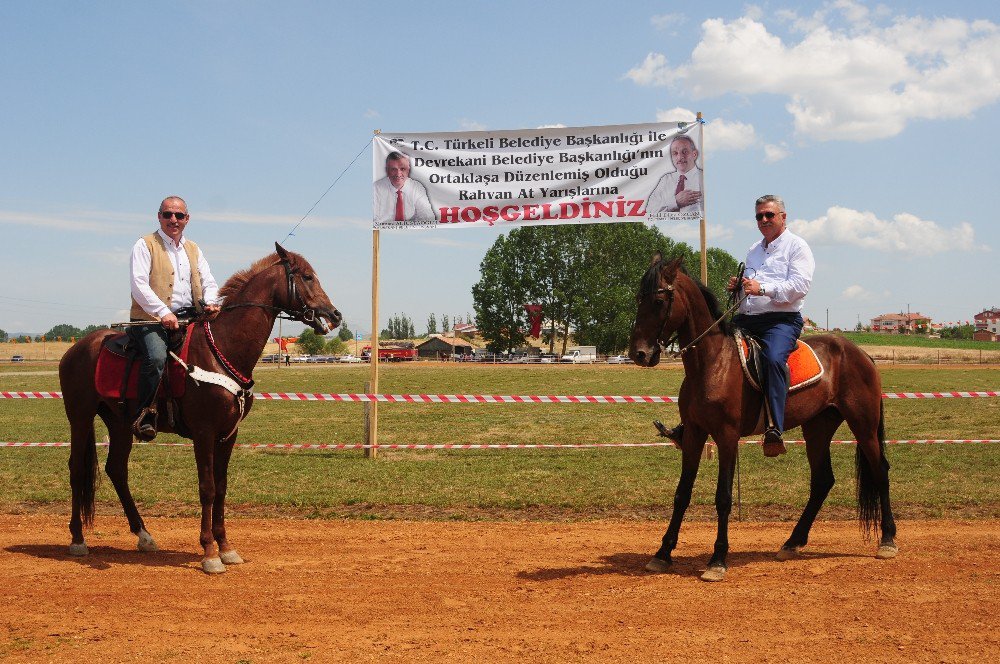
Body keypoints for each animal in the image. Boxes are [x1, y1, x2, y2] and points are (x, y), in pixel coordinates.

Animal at [59, 244, 340, 572]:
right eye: (307, 276)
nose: (334, 314)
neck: (222, 347)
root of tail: (77, 348)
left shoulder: (228, 435)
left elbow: (221, 488)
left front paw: (226, 547)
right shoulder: (204, 433)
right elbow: (207, 488)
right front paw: (209, 552)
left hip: (120, 423)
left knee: (116, 469)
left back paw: (144, 535)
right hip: (79, 417)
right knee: (77, 469)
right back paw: (78, 539)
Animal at [628, 254, 896, 580]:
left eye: (658, 300)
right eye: (639, 298)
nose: (639, 353)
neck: (712, 362)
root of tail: (861, 354)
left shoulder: (727, 437)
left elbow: (723, 497)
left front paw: (717, 559)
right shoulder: (693, 434)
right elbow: (682, 494)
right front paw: (663, 553)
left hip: (863, 424)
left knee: (880, 471)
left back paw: (887, 540)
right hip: (818, 428)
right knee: (822, 481)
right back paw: (792, 542)